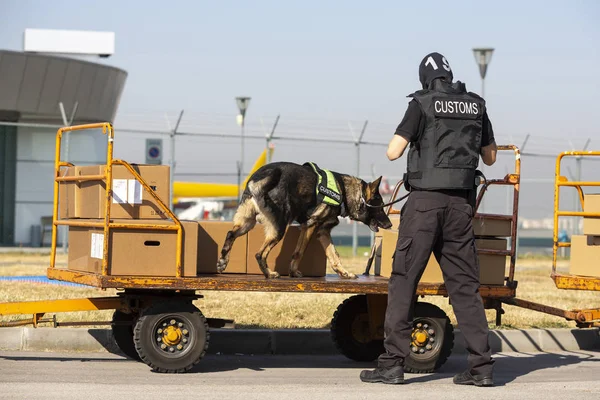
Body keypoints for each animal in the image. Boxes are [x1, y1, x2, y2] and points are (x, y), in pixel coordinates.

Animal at [217, 161, 394, 280]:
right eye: (380, 207)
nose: (390, 224)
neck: (344, 191)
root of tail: (257, 179)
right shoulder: (310, 225)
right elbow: (299, 252)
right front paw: (293, 272)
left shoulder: (323, 232)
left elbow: (334, 254)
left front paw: (344, 272)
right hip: (279, 229)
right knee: (259, 254)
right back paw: (269, 274)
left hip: (247, 223)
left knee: (230, 234)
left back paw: (222, 262)